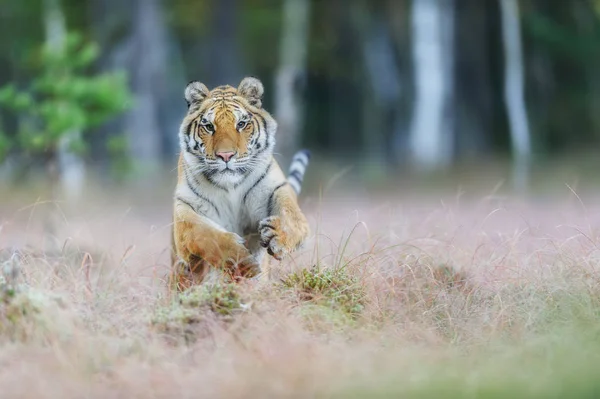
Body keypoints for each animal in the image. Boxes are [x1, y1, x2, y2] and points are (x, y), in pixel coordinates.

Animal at [169, 77, 310, 290]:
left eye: (242, 124)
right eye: (209, 126)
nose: (226, 155)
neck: (230, 187)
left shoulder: (275, 189)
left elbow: (291, 215)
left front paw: (277, 235)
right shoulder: (184, 211)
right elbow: (206, 235)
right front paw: (242, 263)